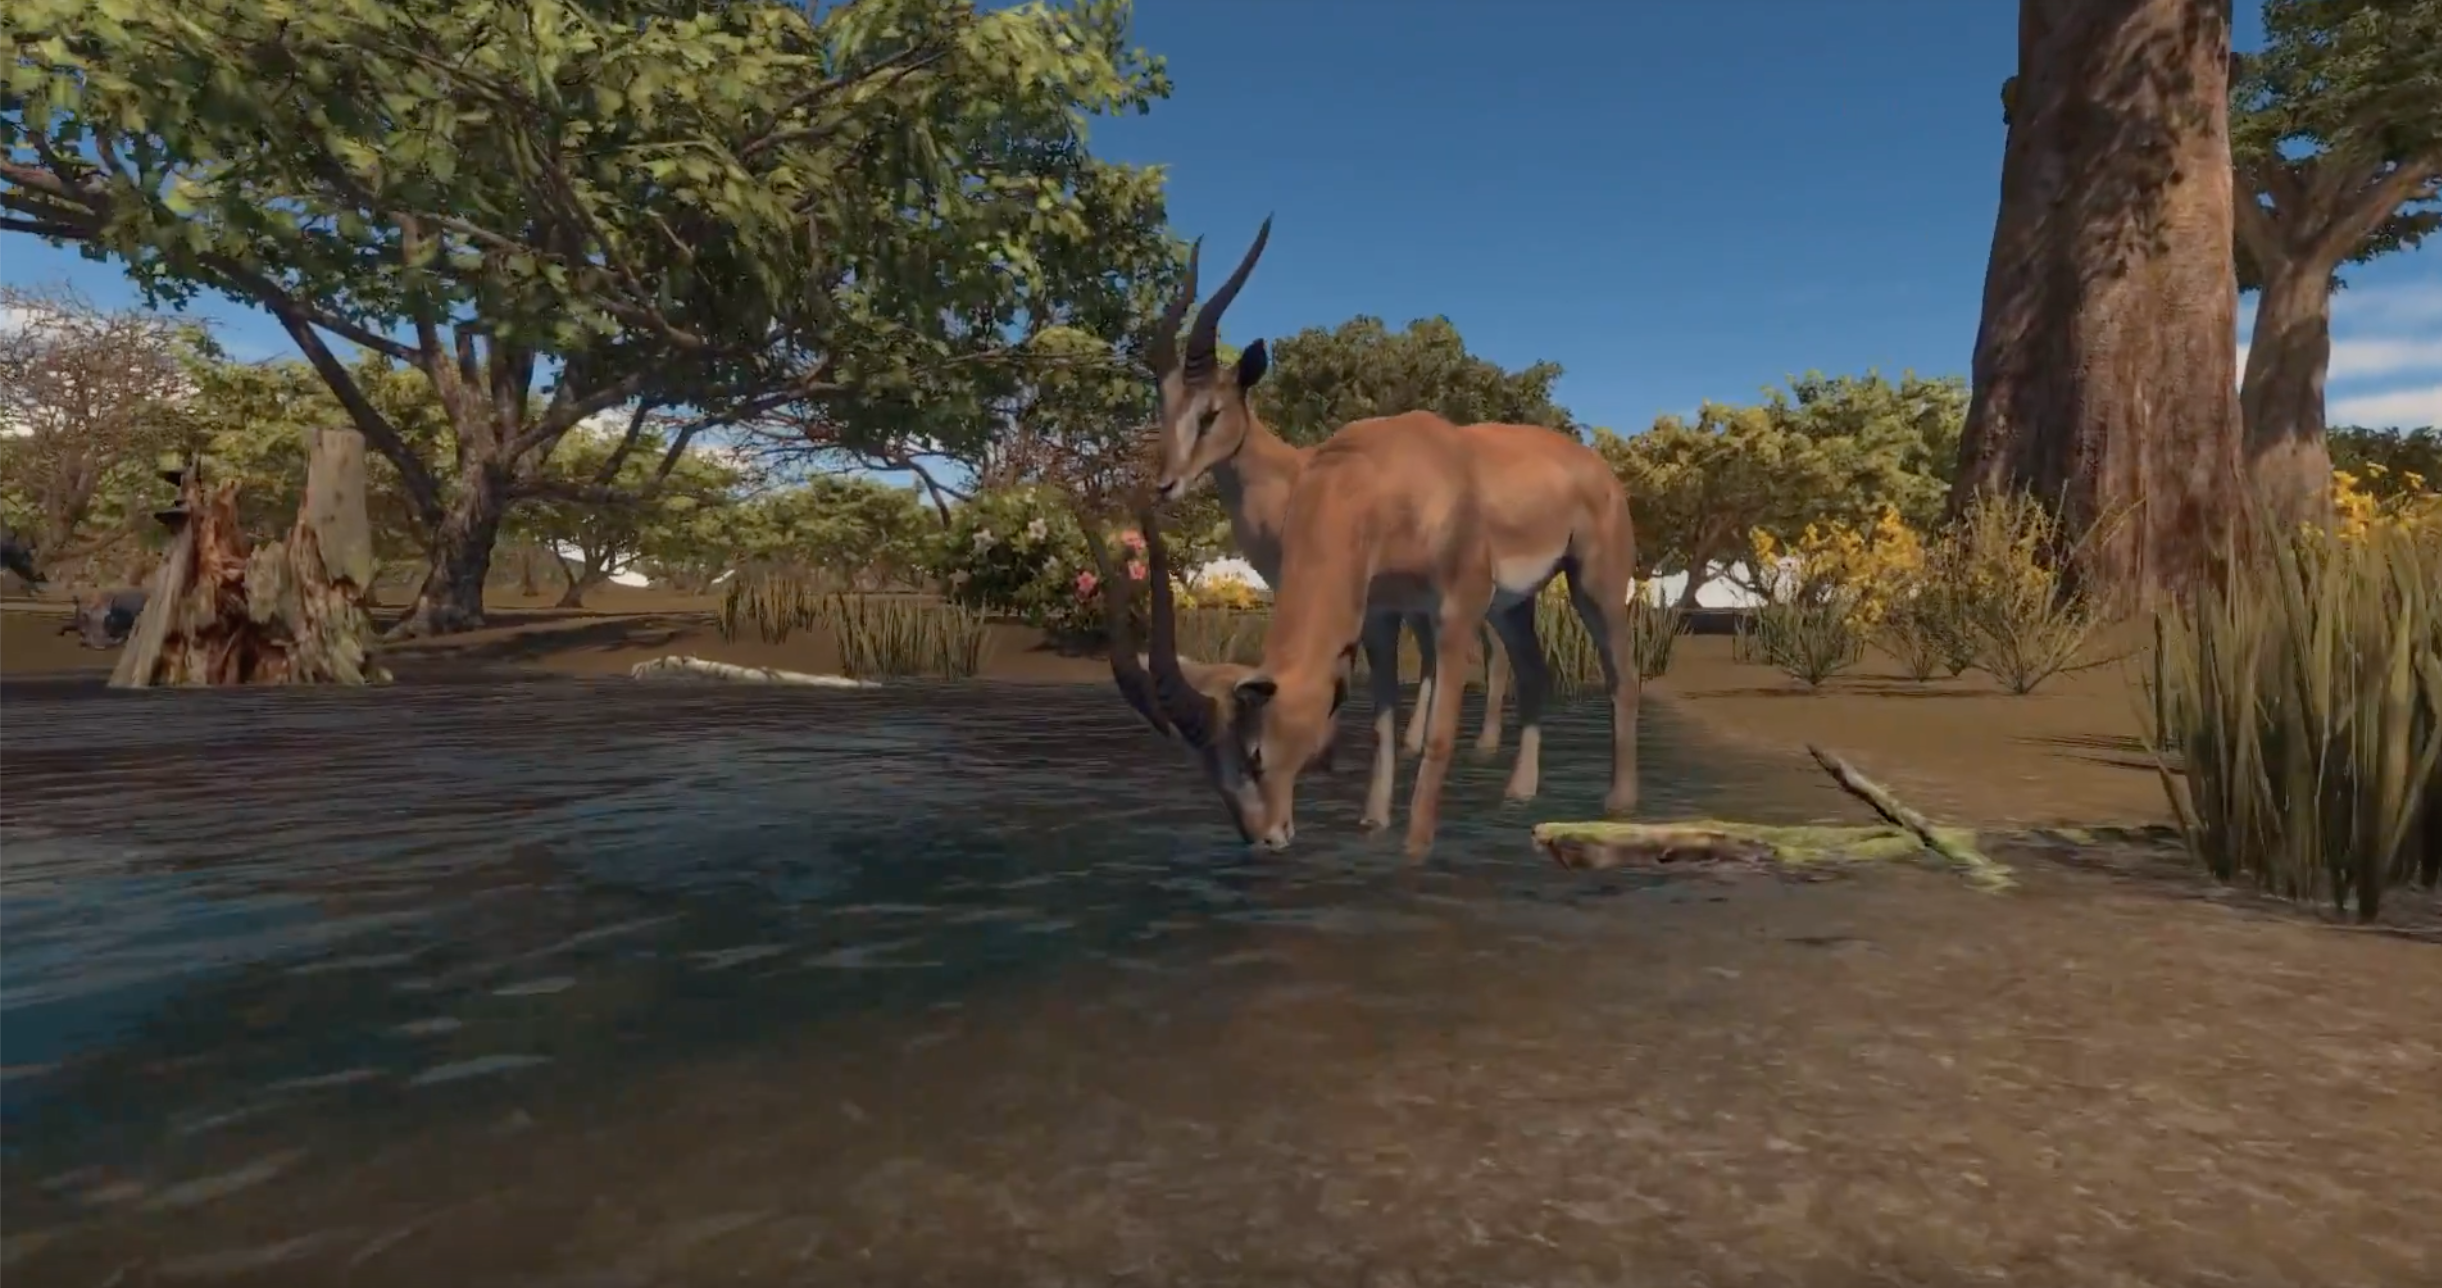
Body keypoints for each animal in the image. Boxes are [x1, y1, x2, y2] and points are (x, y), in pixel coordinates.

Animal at [1139, 217, 1511, 767]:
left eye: (1210, 413)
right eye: (1165, 409)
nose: (1165, 484)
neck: (1288, 479)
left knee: (1483, 647)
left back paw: (1481, 746)